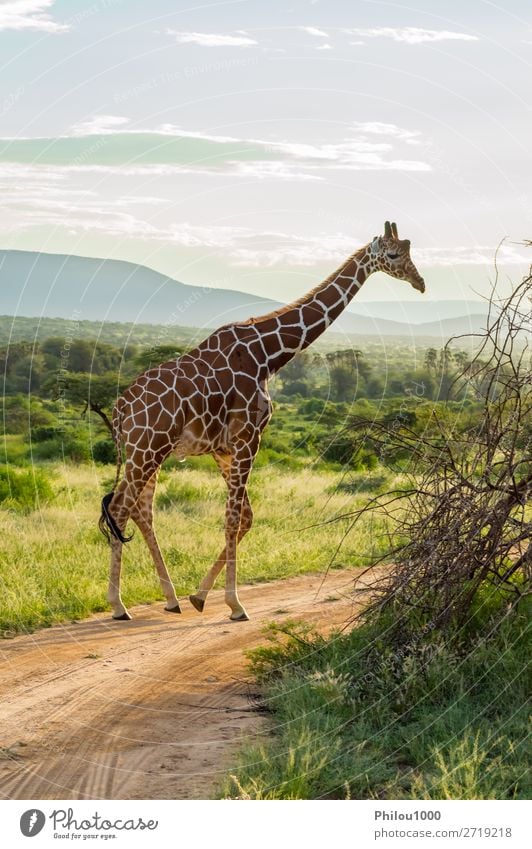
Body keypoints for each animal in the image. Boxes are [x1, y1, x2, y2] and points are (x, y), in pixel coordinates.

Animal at [98, 222, 424, 620]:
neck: (268, 355)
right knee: (120, 509)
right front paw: (235, 604)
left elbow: (246, 518)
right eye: (393, 255)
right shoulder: (248, 438)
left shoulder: (224, 447)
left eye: (409, 251)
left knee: (140, 511)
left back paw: (171, 599)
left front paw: (200, 597)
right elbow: (233, 518)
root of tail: (120, 408)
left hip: (146, 452)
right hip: (147, 449)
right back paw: (118, 605)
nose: (420, 283)